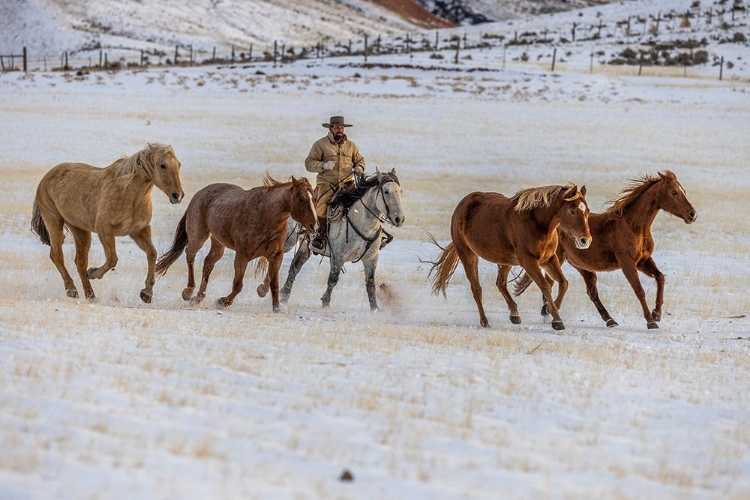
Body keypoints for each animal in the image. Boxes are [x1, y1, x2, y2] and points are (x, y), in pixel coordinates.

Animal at [32, 143, 185, 302]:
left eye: (179, 165)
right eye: (163, 165)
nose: (177, 195)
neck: (129, 194)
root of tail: (46, 177)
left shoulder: (139, 231)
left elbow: (152, 254)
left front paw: (146, 293)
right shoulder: (105, 230)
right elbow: (112, 259)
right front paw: (93, 273)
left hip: (79, 229)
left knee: (80, 261)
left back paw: (90, 294)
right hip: (54, 220)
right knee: (57, 255)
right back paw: (72, 290)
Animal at [154, 175, 316, 308]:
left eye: (314, 199)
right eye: (301, 199)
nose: (314, 225)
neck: (265, 215)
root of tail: (200, 193)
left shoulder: (276, 256)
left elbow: (274, 284)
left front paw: (277, 307)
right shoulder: (242, 255)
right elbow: (238, 285)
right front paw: (224, 301)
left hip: (218, 243)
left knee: (208, 263)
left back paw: (198, 297)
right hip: (198, 236)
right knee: (190, 255)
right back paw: (188, 291)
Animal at [428, 183, 592, 328]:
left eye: (587, 211)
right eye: (572, 211)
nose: (586, 240)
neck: (538, 224)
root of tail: (463, 204)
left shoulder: (549, 259)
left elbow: (564, 283)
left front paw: (549, 310)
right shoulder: (528, 261)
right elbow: (545, 286)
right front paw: (557, 319)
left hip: (504, 261)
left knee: (500, 284)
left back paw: (514, 314)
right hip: (468, 254)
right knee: (476, 289)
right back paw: (485, 322)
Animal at [516, 170, 700, 330]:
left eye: (683, 190)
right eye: (674, 192)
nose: (692, 215)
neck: (634, 227)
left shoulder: (643, 261)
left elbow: (660, 278)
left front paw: (657, 313)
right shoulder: (627, 263)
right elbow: (639, 290)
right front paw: (651, 321)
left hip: (581, 266)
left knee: (588, 291)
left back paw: (608, 320)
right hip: (558, 259)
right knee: (553, 283)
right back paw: (550, 312)